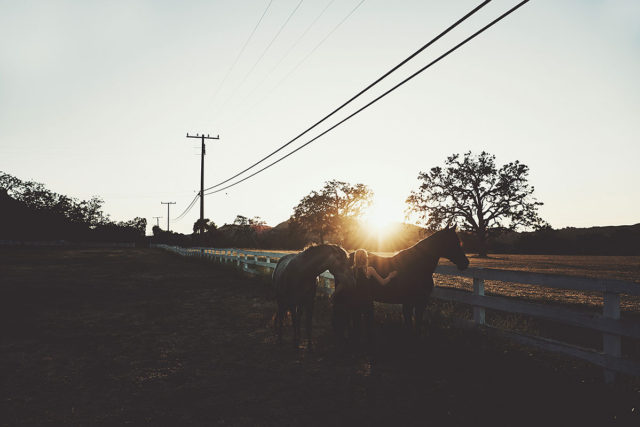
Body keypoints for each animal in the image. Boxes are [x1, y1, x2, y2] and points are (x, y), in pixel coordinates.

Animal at [332, 227, 468, 338]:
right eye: (453, 242)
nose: (465, 263)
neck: (416, 267)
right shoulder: (411, 302)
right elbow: (411, 323)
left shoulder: (419, 302)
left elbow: (416, 323)